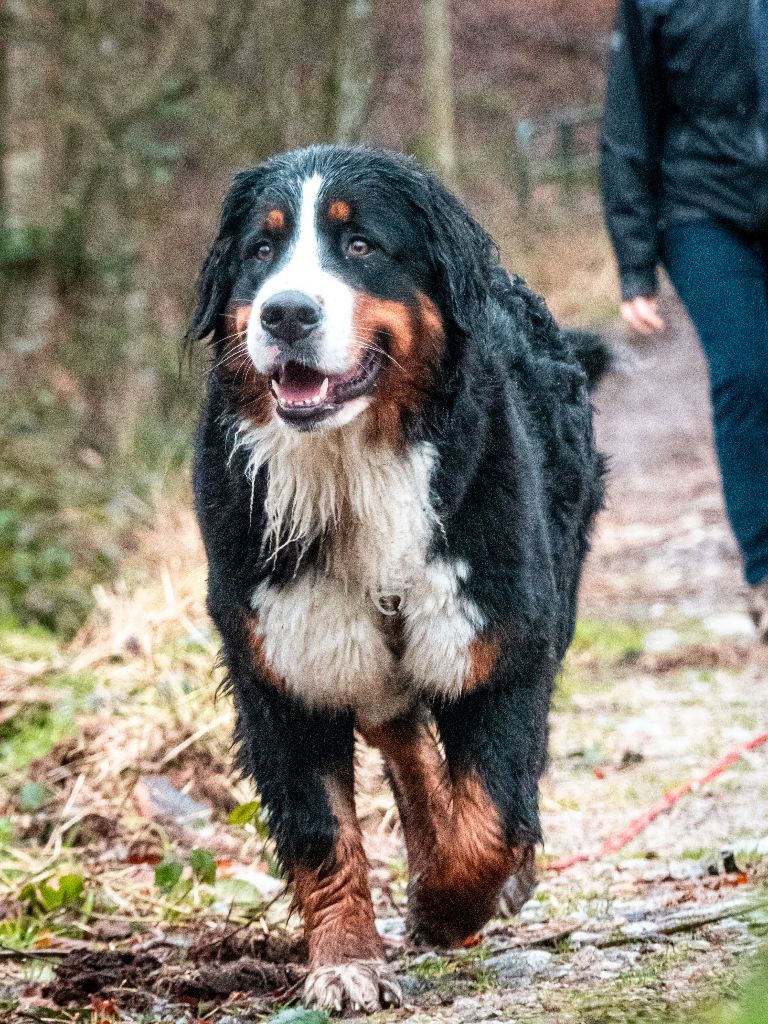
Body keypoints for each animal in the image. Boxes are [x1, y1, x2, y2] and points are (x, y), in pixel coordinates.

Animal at [188, 146, 606, 1015]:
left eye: (360, 246)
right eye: (260, 250)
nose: (284, 314)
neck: (351, 471)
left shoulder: (498, 638)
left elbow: (490, 818)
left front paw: (449, 907)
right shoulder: (281, 665)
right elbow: (324, 834)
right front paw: (347, 959)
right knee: (404, 740)